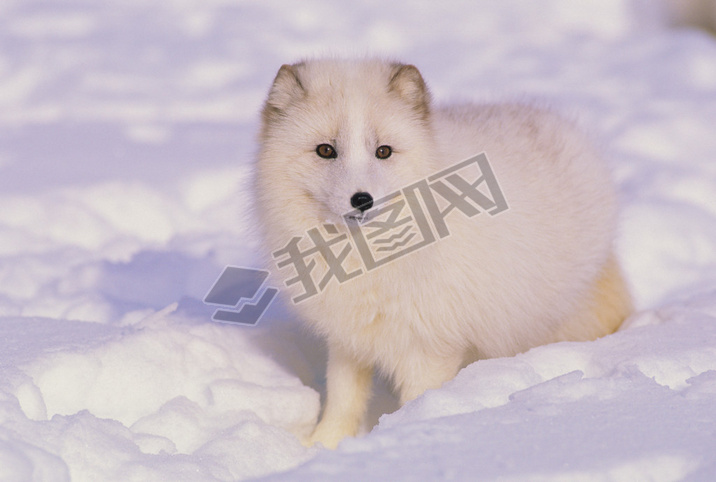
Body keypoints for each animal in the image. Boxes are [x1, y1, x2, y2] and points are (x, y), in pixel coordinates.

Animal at [253, 58, 632, 450]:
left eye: (383, 151)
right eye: (326, 150)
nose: (362, 200)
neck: (368, 254)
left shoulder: (430, 347)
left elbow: (416, 400)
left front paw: (407, 434)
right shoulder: (348, 340)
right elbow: (342, 401)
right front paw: (321, 447)